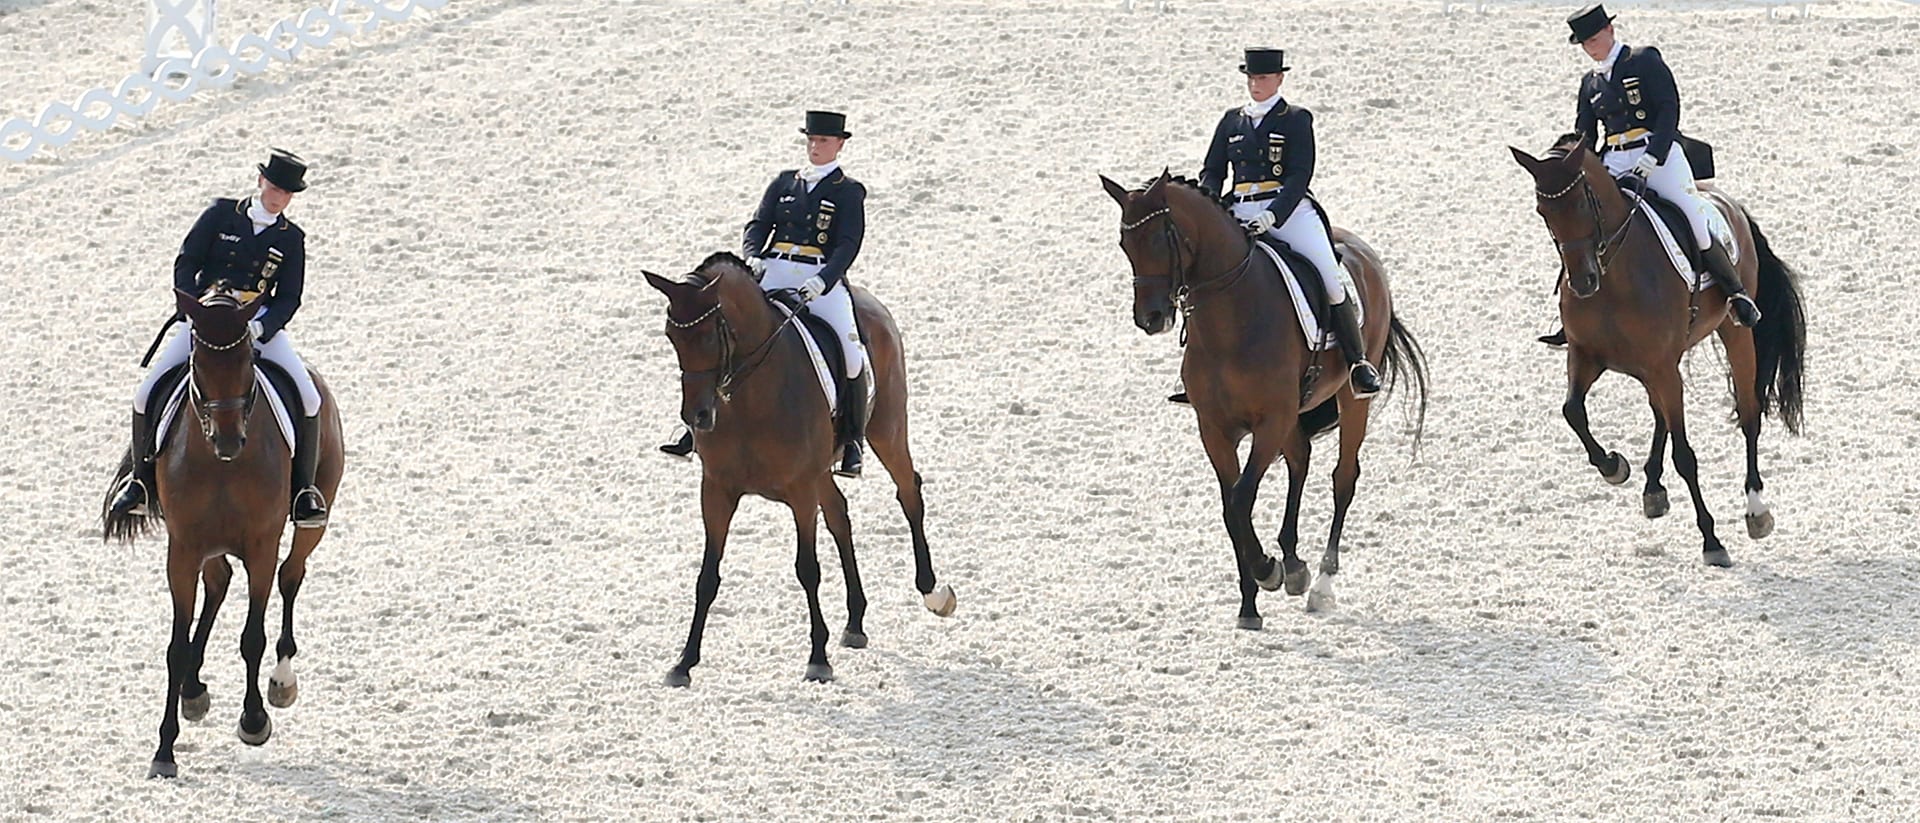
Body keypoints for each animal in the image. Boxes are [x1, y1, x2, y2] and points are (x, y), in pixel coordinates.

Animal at [100, 287, 345, 775]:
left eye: (248, 361)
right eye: (198, 365)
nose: (229, 440)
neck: (222, 467)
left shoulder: (261, 547)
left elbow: (253, 637)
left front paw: (253, 721)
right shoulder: (183, 549)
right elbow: (175, 646)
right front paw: (164, 750)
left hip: (312, 520)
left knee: (292, 576)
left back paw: (281, 681)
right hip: (207, 547)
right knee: (218, 582)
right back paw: (193, 689)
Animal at [641, 251, 956, 686]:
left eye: (708, 337)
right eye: (671, 337)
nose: (698, 417)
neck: (751, 398)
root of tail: (870, 301)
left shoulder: (801, 490)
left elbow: (808, 568)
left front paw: (818, 658)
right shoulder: (717, 489)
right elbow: (707, 577)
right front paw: (684, 662)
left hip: (886, 428)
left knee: (908, 491)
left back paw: (933, 592)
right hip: (824, 470)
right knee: (840, 514)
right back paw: (855, 621)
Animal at [1098, 169, 1428, 625]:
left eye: (1162, 239)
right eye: (1124, 244)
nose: (1150, 318)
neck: (1229, 322)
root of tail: (1364, 252)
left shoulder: (1270, 421)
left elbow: (1240, 499)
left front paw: (1265, 571)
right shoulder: (1215, 429)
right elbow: (1231, 507)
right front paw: (1251, 602)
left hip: (1351, 399)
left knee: (1343, 477)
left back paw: (1320, 582)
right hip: (1294, 413)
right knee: (1301, 460)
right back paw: (1293, 563)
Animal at [1505, 134, 1804, 567]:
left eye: (1581, 204)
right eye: (1542, 211)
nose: (1583, 282)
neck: (1613, 277)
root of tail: (1726, 201)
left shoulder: (1661, 366)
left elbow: (1685, 456)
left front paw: (1712, 540)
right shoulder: (1587, 355)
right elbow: (1573, 411)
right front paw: (1613, 466)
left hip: (1732, 335)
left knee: (1749, 416)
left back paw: (1756, 511)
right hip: (1656, 366)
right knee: (1660, 413)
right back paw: (1652, 488)